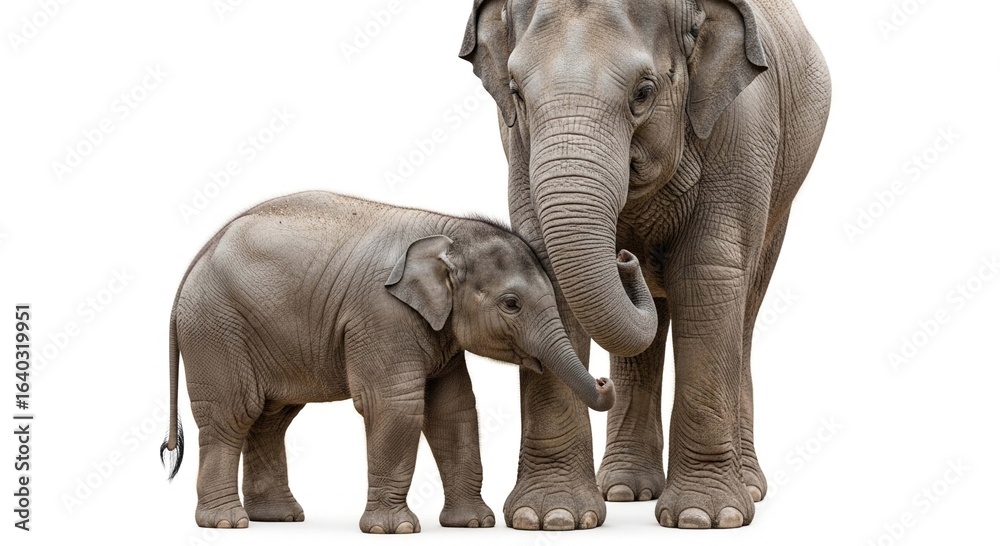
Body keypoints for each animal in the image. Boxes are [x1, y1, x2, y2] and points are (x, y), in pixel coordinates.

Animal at [158, 190, 622, 532]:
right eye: (511, 304)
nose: (604, 380)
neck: (447, 230)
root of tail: (193, 263)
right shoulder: (382, 315)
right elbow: (396, 406)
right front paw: (394, 529)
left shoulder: (437, 330)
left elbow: (454, 409)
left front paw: (474, 524)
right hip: (215, 330)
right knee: (234, 414)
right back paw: (226, 523)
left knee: (271, 418)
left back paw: (279, 518)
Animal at [460, 0, 831, 530]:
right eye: (515, 93)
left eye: (643, 92)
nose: (626, 256)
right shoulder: (517, 146)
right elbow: (544, 266)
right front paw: (549, 519)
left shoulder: (743, 129)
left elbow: (707, 272)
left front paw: (703, 517)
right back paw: (623, 490)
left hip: (783, 190)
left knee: (744, 309)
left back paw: (749, 490)